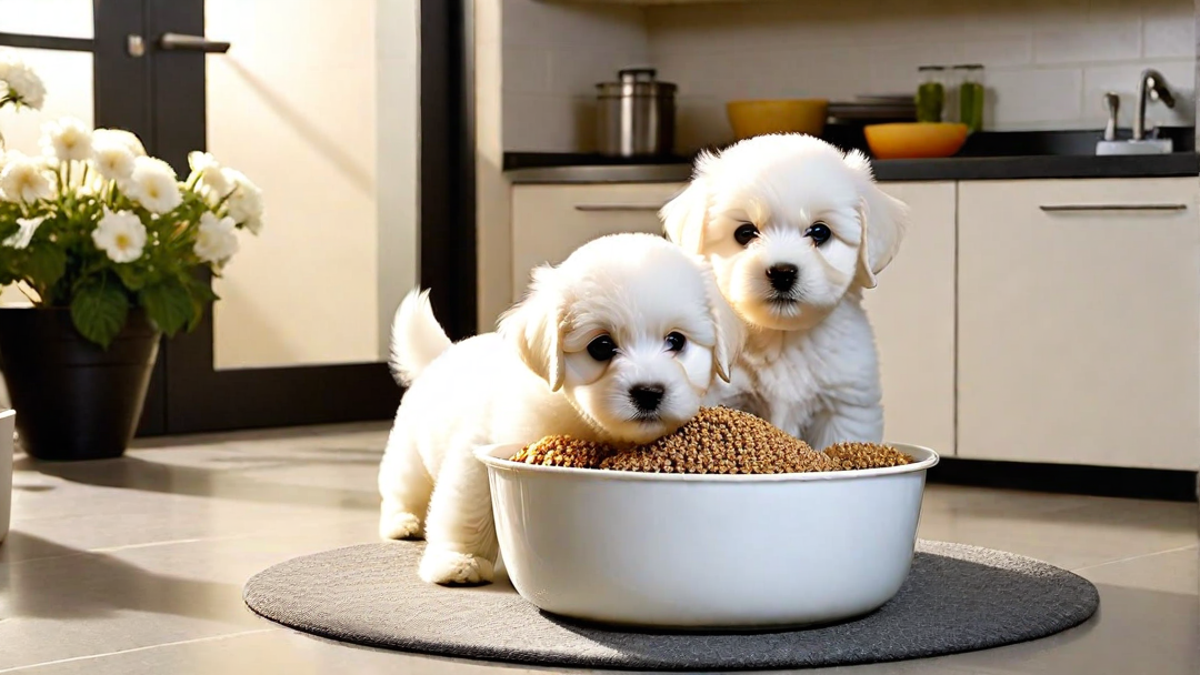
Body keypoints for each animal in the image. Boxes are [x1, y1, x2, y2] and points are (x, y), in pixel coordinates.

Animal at [379, 230, 744, 583]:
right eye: (601, 346)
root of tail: (442, 353)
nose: (648, 392)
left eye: (676, 341)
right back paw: (402, 522)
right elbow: (468, 507)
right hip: (408, 449)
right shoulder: (478, 449)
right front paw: (458, 561)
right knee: (403, 486)